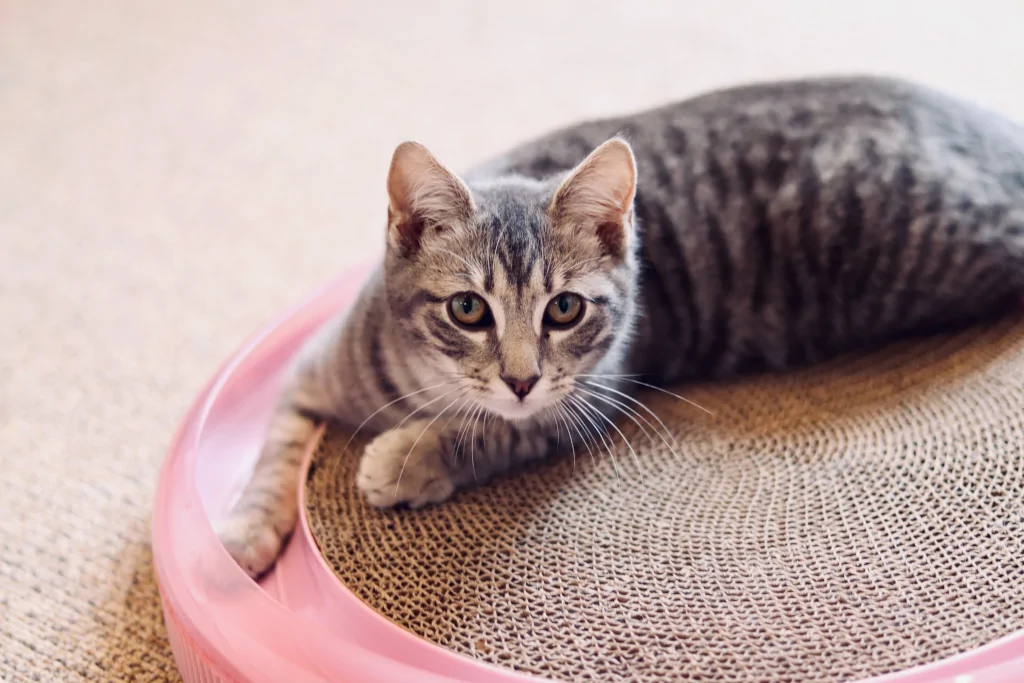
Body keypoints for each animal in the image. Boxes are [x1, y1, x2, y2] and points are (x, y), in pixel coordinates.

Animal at [216, 76, 1024, 577]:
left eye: (564, 309)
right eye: (467, 309)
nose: (520, 377)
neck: (425, 384)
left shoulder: (588, 396)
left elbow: (496, 432)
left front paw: (412, 457)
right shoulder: (312, 370)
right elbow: (276, 445)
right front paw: (248, 526)